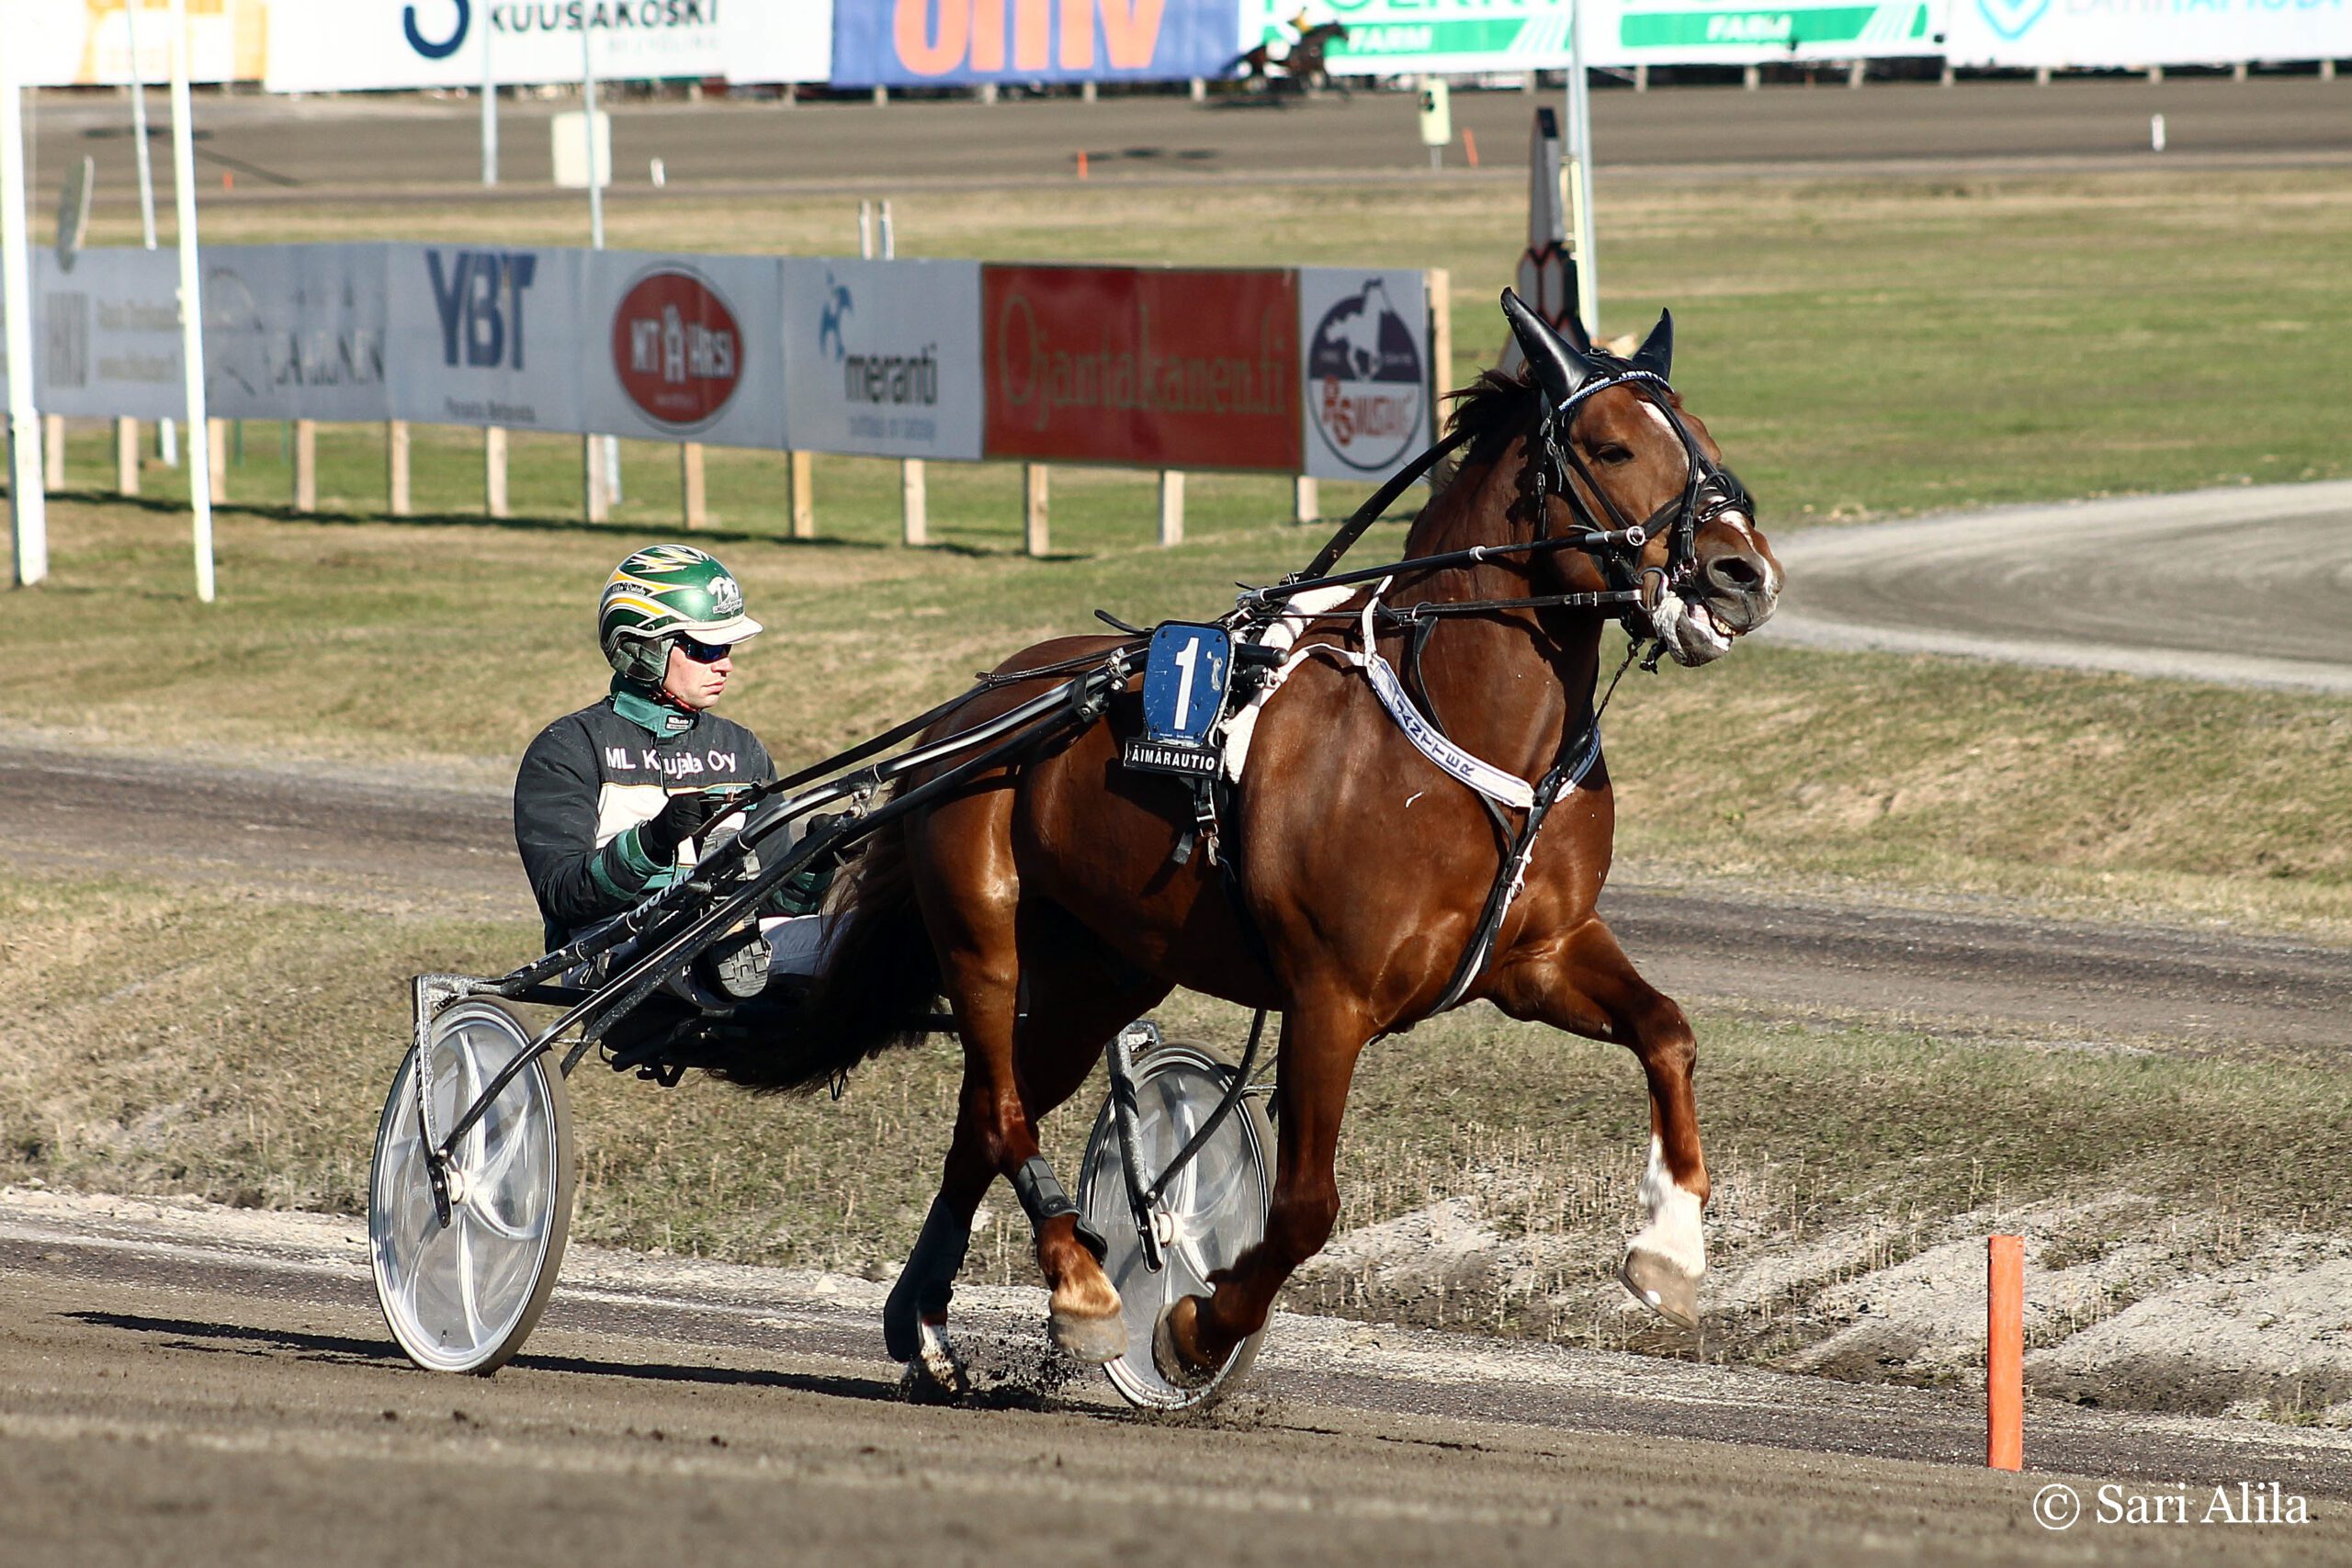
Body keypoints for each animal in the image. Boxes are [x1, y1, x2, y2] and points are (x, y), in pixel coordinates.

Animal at [723, 293, 1782, 1391]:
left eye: (1704, 442)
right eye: (1612, 447)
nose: (1741, 574)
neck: (1462, 734)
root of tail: (988, 702)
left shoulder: (1539, 956)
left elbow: (1668, 1032)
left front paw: (1670, 1251)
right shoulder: (1329, 997)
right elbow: (1306, 1208)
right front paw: (1196, 1329)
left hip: (1101, 970)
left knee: (982, 1117)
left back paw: (926, 1323)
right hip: (986, 935)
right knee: (1005, 1110)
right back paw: (1084, 1291)